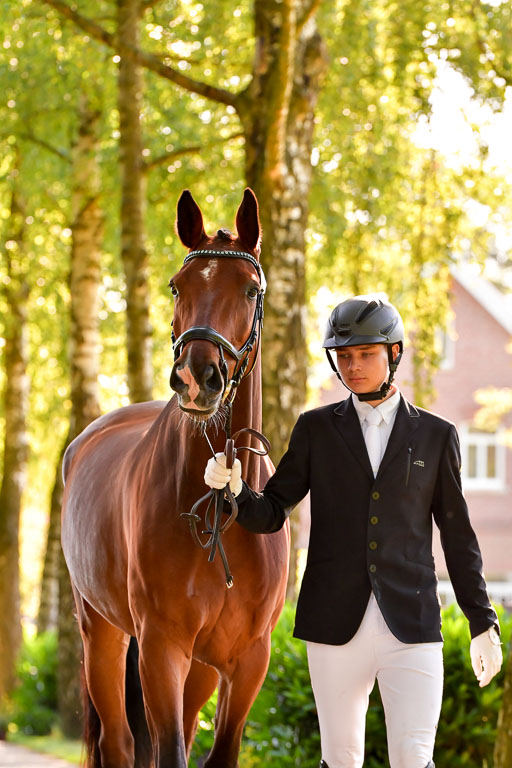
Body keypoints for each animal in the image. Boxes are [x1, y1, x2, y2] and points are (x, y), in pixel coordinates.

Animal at [61, 188, 290, 768]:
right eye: (176, 286)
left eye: (251, 288)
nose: (196, 377)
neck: (221, 509)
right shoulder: (161, 648)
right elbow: (168, 752)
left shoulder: (248, 660)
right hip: (102, 632)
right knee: (119, 743)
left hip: (201, 668)